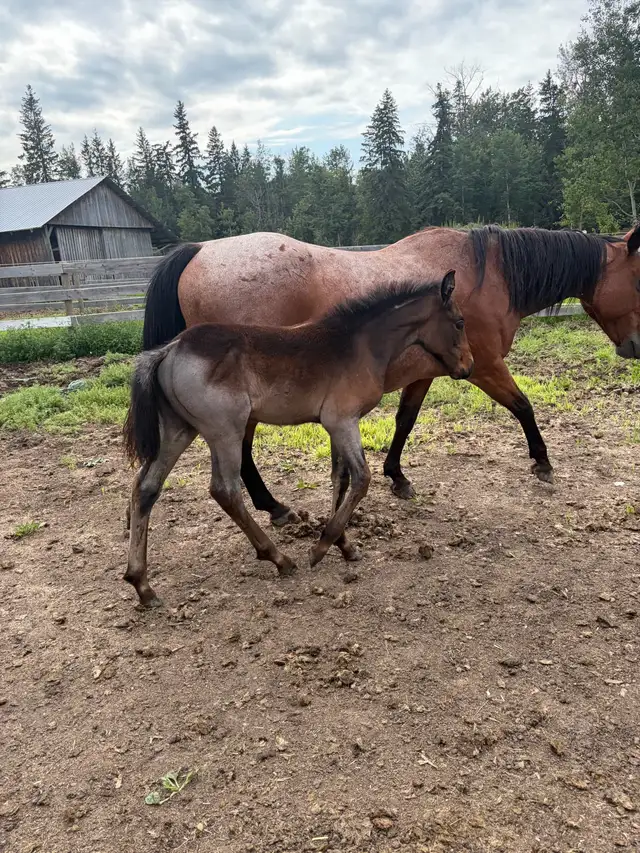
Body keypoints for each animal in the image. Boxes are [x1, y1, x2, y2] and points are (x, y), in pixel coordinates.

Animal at [123, 272, 473, 607]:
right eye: (459, 322)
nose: (467, 367)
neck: (359, 344)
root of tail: (170, 349)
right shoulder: (342, 421)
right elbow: (361, 479)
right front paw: (321, 547)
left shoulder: (335, 425)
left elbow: (340, 479)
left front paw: (344, 545)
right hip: (225, 431)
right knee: (225, 491)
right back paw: (278, 558)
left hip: (179, 430)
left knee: (146, 487)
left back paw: (142, 585)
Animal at [142, 224, 640, 524]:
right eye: (638, 279)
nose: (634, 347)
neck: (485, 274)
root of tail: (201, 250)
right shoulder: (483, 367)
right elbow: (523, 405)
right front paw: (542, 461)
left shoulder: (430, 372)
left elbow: (405, 421)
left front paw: (396, 475)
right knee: (242, 452)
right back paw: (274, 507)